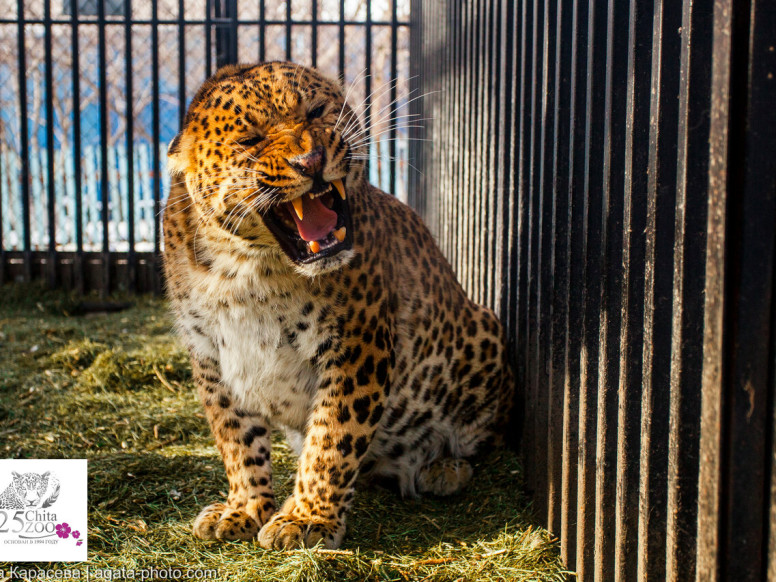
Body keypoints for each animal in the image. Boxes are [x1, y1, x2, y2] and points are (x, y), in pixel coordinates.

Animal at [162, 64, 516, 552]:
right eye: (251, 139)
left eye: (315, 112)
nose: (310, 162)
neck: (249, 269)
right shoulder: (209, 356)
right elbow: (236, 439)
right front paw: (245, 508)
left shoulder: (356, 342)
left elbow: (333, 437)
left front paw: (307, 519)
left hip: (484, 332)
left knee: (482, 439)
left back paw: (441, 467)